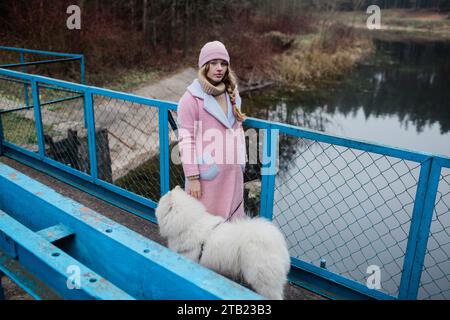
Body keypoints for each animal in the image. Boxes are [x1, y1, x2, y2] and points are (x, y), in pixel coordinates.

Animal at [155, 185, 290, 300]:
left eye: (161, 201)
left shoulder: (190, 259)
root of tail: (277, 242)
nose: (156, 205)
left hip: (262, 279)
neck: (188, 223)